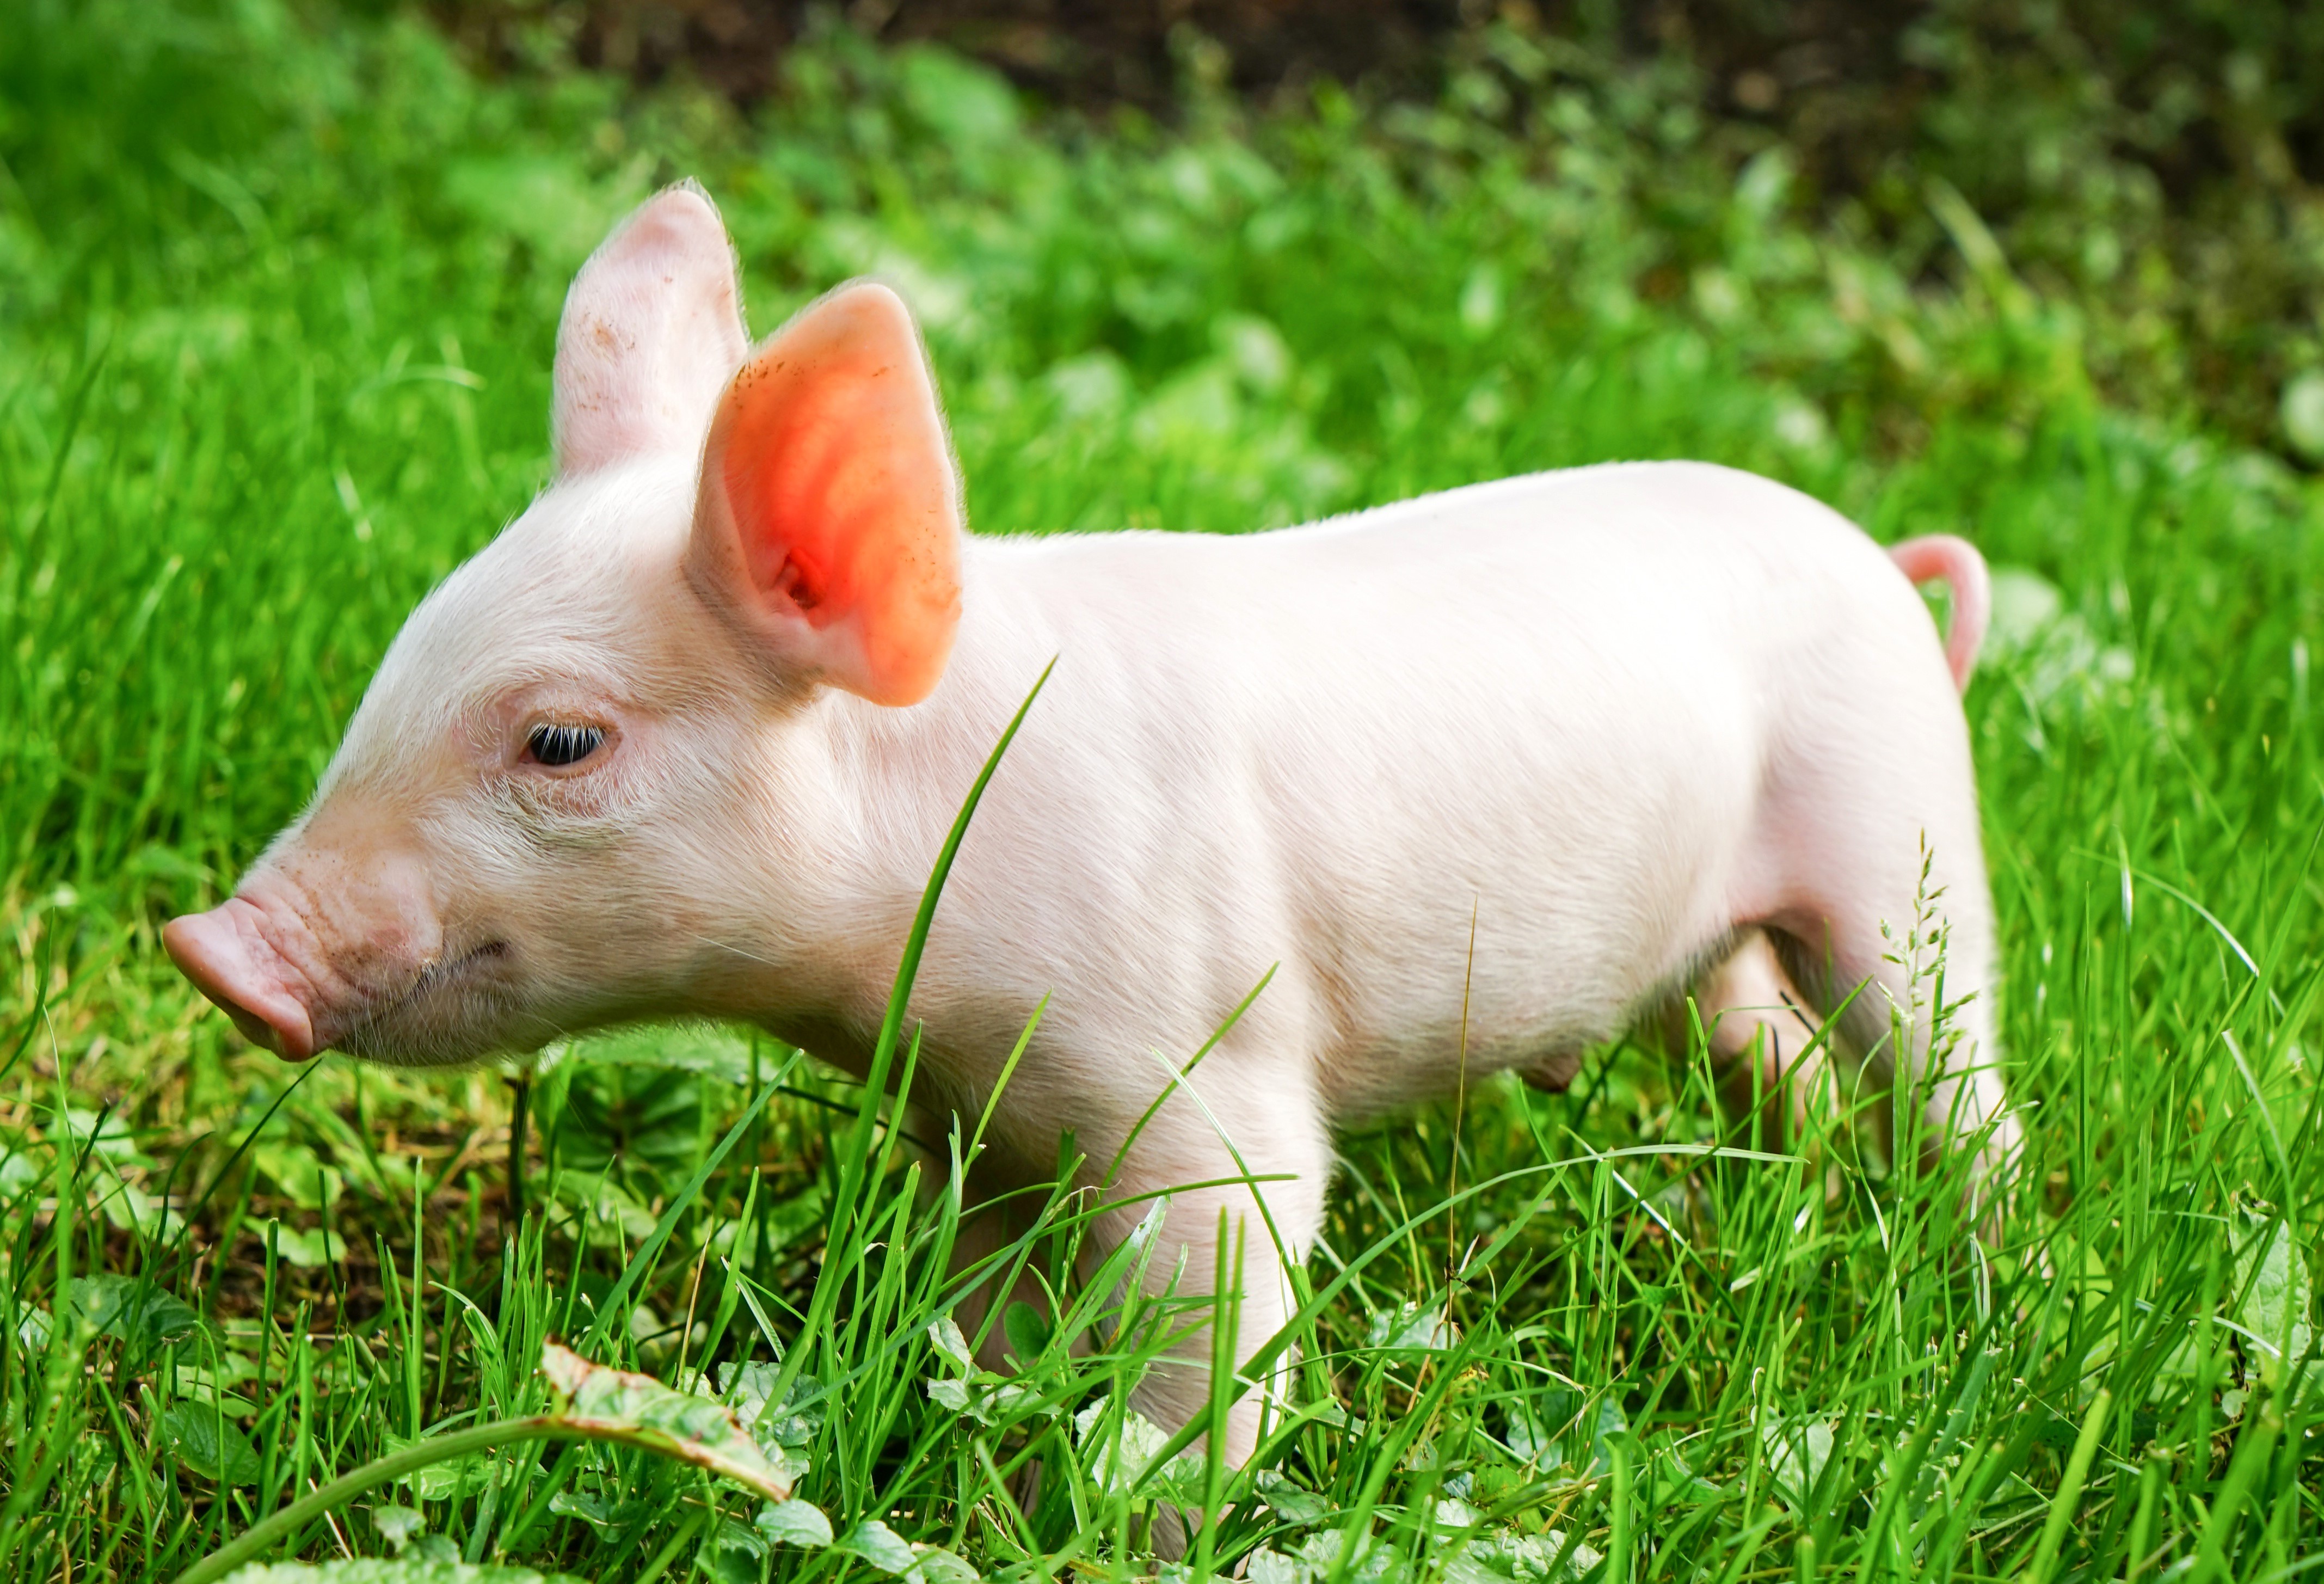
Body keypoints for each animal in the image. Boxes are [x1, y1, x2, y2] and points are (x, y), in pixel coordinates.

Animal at [164, 182, 2018, 1471]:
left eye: (561, 740)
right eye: (400, 661)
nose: (211, 948)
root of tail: (1878, 556)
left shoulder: (1209, 1064)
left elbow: (1228, 1300)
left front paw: (1131, 1495)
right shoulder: (977, 1118)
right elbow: (983, 1301)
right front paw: (975, 1406)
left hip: (1901, 840)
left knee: (1955, 1081)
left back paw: (1977, 1264)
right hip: (1728, 932)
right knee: (1764, 1043)